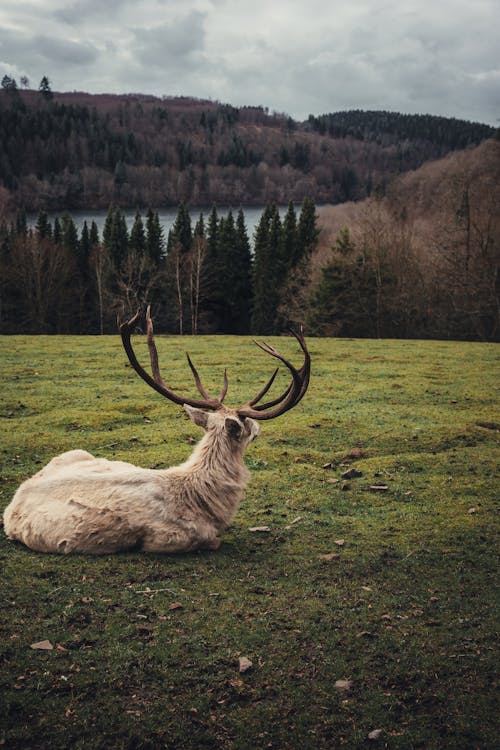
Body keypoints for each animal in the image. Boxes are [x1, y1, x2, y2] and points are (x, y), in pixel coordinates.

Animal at [2, 306, 308, 560]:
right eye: (246, 426)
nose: (258, 428)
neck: (207, 499)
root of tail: (12, 502)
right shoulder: (174, 538)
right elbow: (214, 541)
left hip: (74, 451)